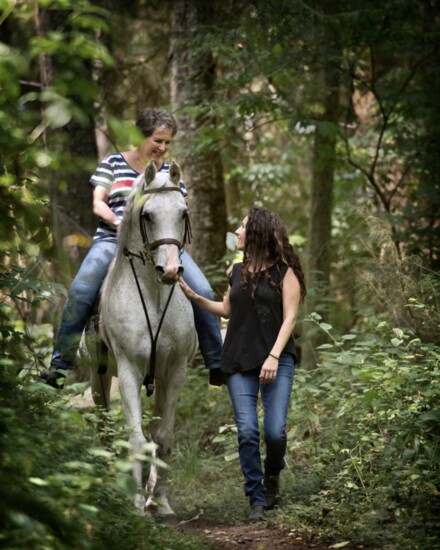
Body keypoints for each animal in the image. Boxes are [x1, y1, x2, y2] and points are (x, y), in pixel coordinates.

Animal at [81, 162, 198, 520]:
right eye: (147, 215)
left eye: (183, 212)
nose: (170, 270)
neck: (154, 295)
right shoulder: (129, 370)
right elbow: (134, 437)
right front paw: (135, 503)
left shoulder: (174, 371)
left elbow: (162, 436)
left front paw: (158, 500)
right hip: (99, 377)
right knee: (104, 428)